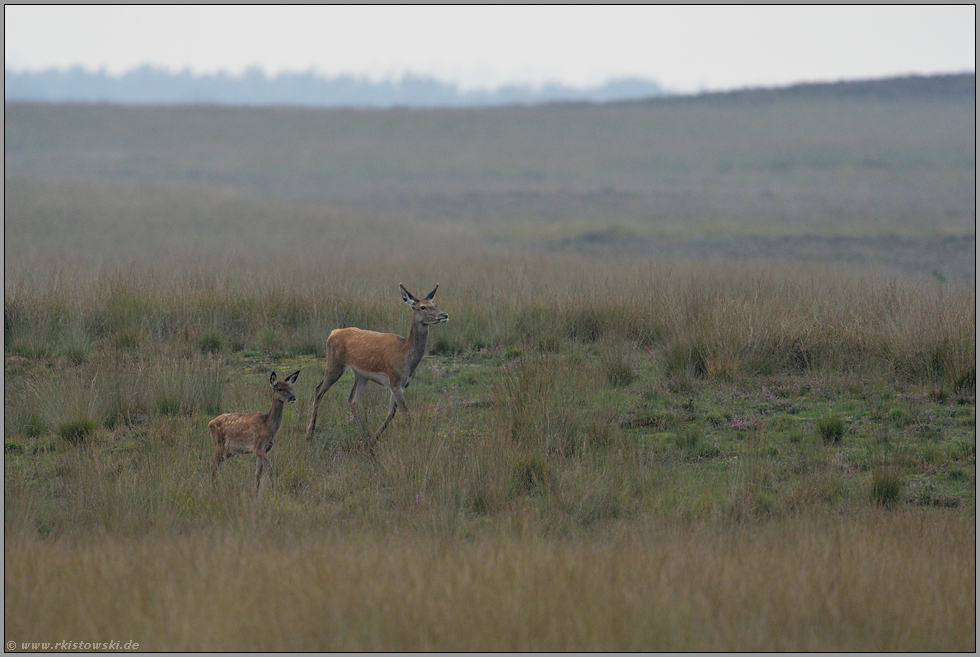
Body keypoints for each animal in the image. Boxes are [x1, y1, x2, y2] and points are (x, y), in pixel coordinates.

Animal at [304, 284, 450, 448]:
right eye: (422, 307)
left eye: (435, 304)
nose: (444, 315)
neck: (407, 357)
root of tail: (332, 333)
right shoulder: (395, 380)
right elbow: (405, 414)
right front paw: (413, 441)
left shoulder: (402, 384)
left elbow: (391, 412)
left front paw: (375, 438)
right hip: (334, 364)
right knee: (319, 390)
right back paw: (309, 434)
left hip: (361, 375)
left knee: (352, 400)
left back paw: (365, 438)